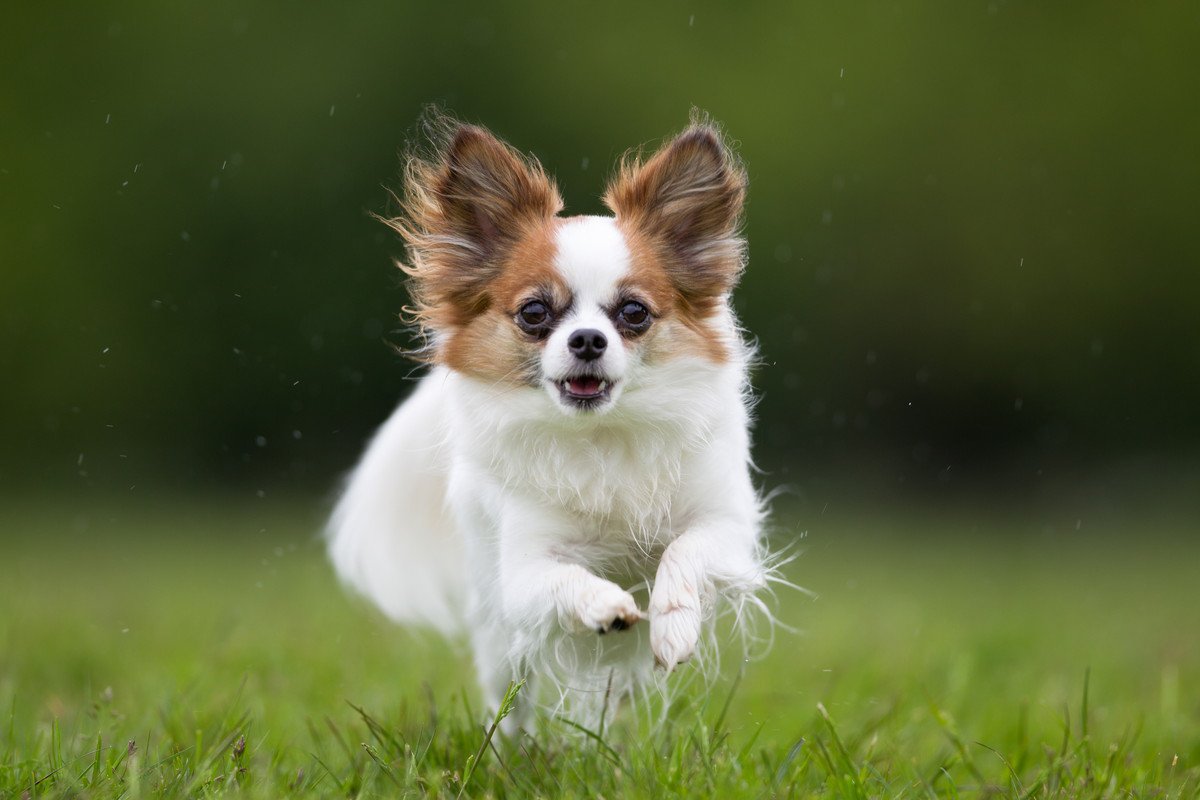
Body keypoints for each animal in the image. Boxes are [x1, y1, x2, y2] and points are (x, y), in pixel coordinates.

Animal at [328, 112, 768, 734]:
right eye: (535, 313)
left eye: (634, 313)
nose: (587, 339)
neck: (603, 435)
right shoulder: (524, 573)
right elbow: (565, 580)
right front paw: (606, 604)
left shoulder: (728, 530)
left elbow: (685, 554)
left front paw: (674, 624)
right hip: (498, 638)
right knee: (510, 699)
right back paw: (508, 749)